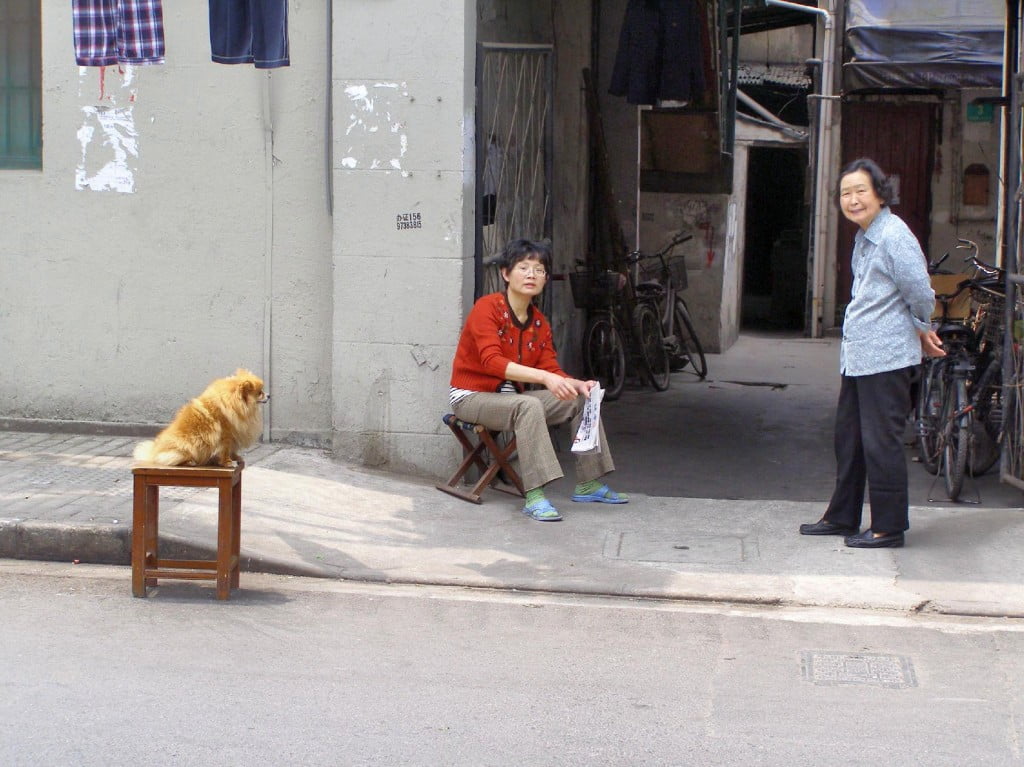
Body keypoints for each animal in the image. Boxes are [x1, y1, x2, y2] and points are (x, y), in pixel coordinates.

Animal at [132, 366, 268, 462]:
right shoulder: (226, 434)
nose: (269, 395)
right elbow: (225, 450)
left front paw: (236, 458)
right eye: (260, 393)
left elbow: (232, 449)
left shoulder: (235, 433)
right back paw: (190, 462)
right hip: (189, 445)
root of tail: (154, 454)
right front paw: (228, 463)